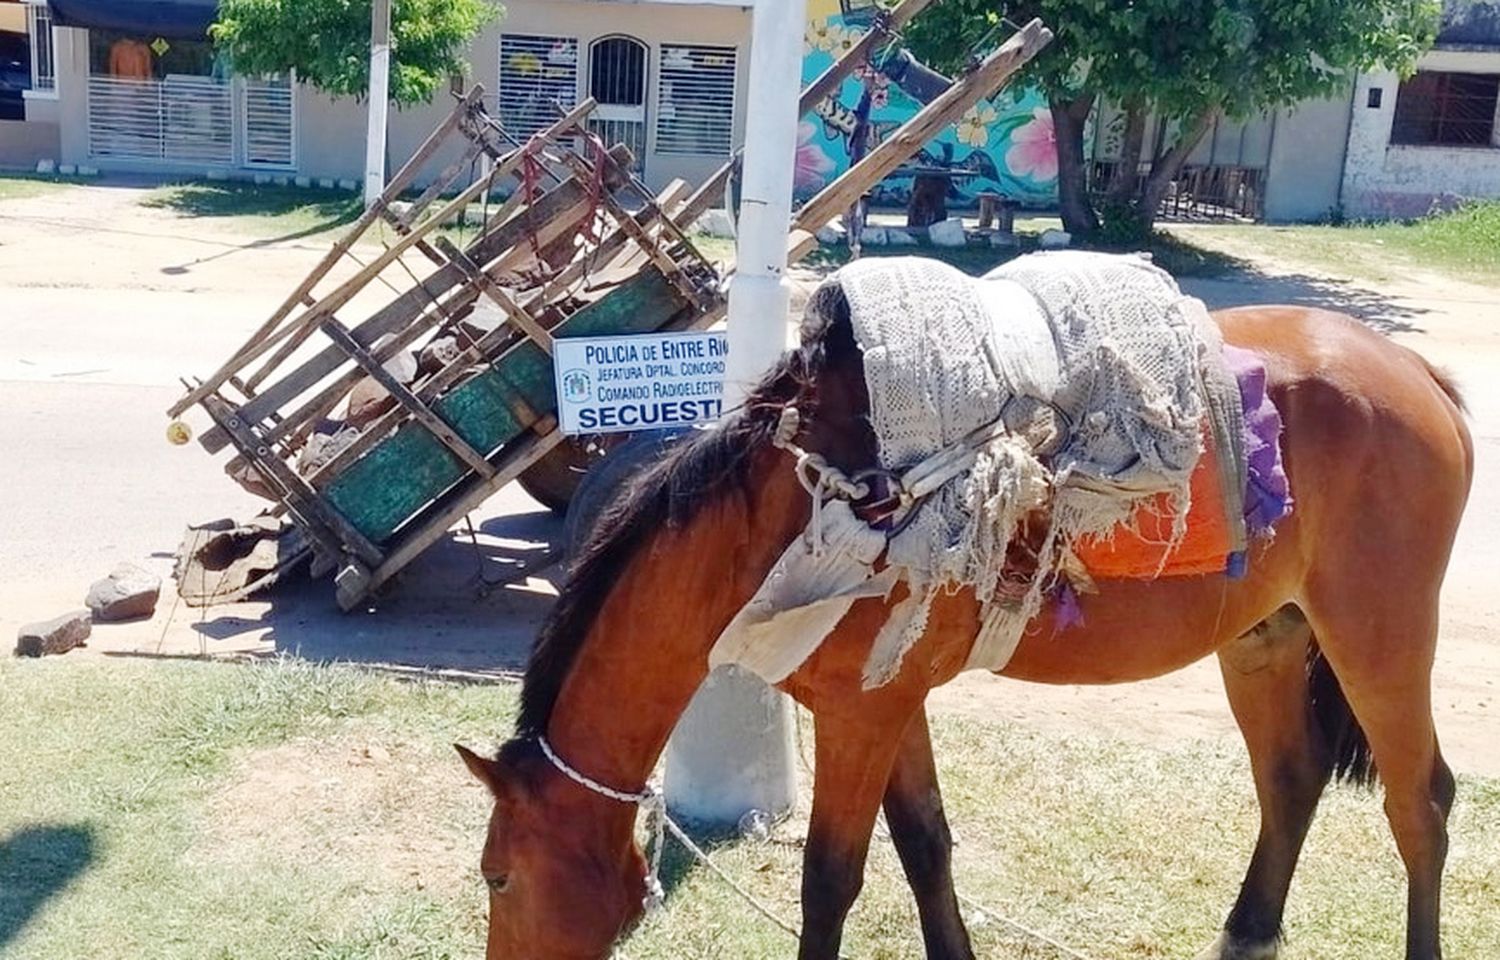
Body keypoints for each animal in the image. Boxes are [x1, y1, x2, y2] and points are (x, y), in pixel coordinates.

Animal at [453, 292, 1464, 960]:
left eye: (498, 877)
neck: (784, 509)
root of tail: (1416, 368)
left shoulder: (860, 719)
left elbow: (830, 881)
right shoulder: (888, 707)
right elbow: (926, 849)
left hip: (1378, 638)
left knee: (1421, 803)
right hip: (1265, 639)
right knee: (1290, 782)